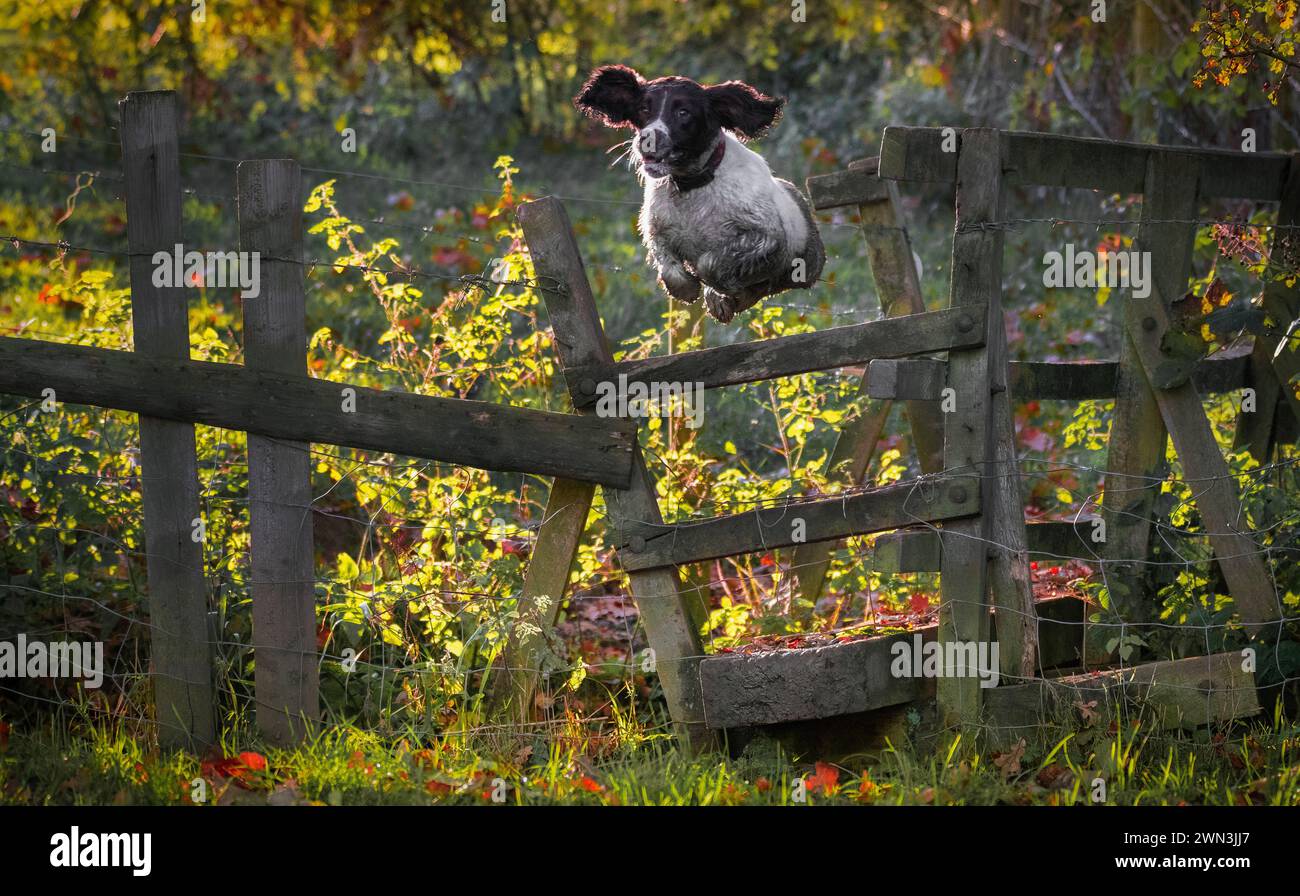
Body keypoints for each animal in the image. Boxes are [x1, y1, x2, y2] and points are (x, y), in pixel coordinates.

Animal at [577, 67, 821, 325]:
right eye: (644, 108)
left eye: (683, 112)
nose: (647, 139)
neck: (691, 188)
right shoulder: (657, 229)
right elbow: (669, 267)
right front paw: (687, 289)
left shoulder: (767, 237)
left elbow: (709, 263)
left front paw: (719, 292)